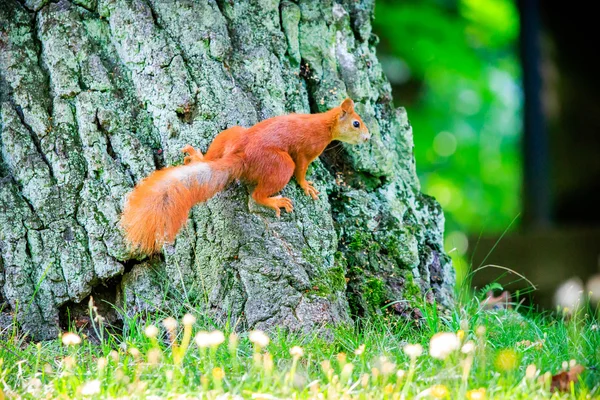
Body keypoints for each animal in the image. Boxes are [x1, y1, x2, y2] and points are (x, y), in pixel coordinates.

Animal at [119, 98, 368, 253]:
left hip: (230, 134)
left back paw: (198, 157)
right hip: (280, 164)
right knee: (258, 194)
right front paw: (307, 186)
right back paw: (274, 201)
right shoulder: (307, 151)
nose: (368, 138)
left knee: (212, 156)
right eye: (356, 123)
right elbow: (301, 171)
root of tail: (241, 155)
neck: (323, 123)